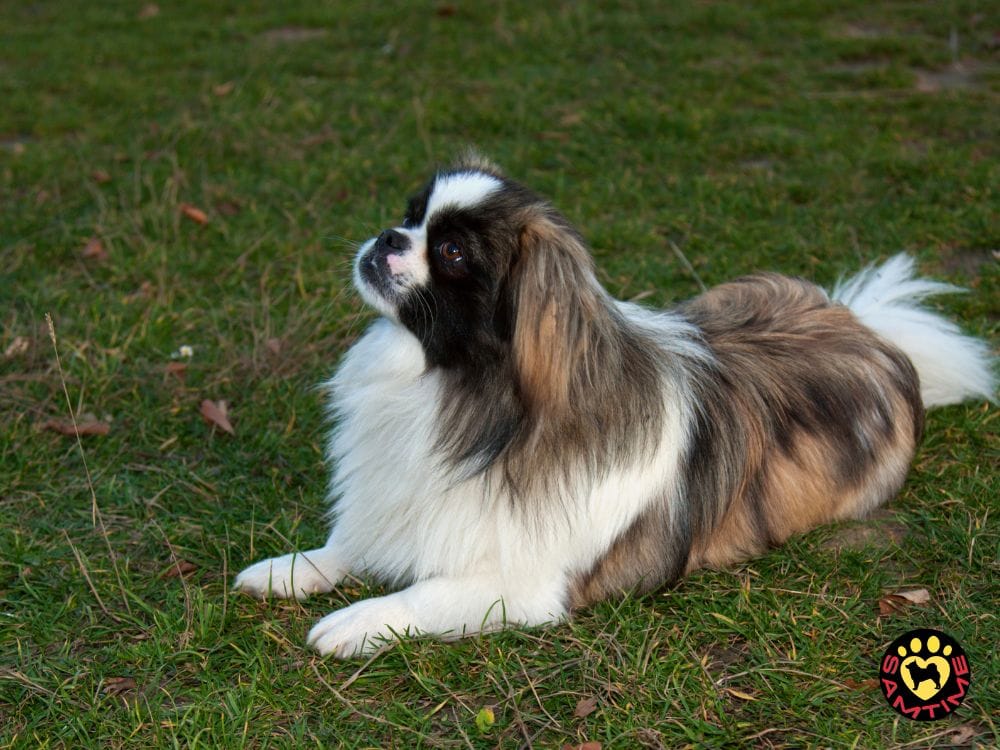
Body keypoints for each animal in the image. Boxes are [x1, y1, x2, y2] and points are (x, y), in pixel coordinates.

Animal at [232, 154, 992, 656]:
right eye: (409, 216)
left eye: (449, 252)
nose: (389, 237)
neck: (458, 390)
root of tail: (871, 331)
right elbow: (347, 544)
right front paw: (288, 570)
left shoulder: (525, 584)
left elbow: (420, 594)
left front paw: (357, 622)